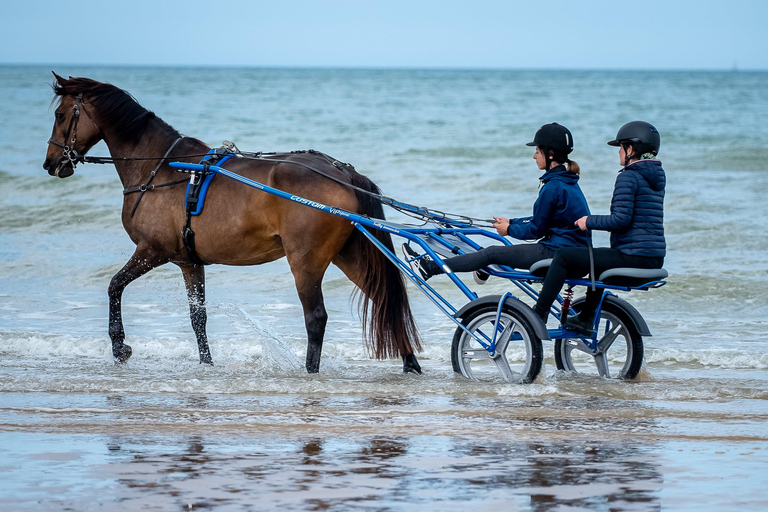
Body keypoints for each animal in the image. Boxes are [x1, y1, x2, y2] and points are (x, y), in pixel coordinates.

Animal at [44, 73, 424, 372]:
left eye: (60, 114)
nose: (50, 163)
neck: (163, 168)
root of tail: (342, 172)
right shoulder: (188, 262)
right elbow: (198, 317)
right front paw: (206, 363)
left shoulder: (152, 250)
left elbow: (114, 286)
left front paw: (120, 346)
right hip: (349, 254)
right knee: (384, 301)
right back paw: (409, 363)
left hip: (306, 261)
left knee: (316, 318)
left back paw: (311, 371)